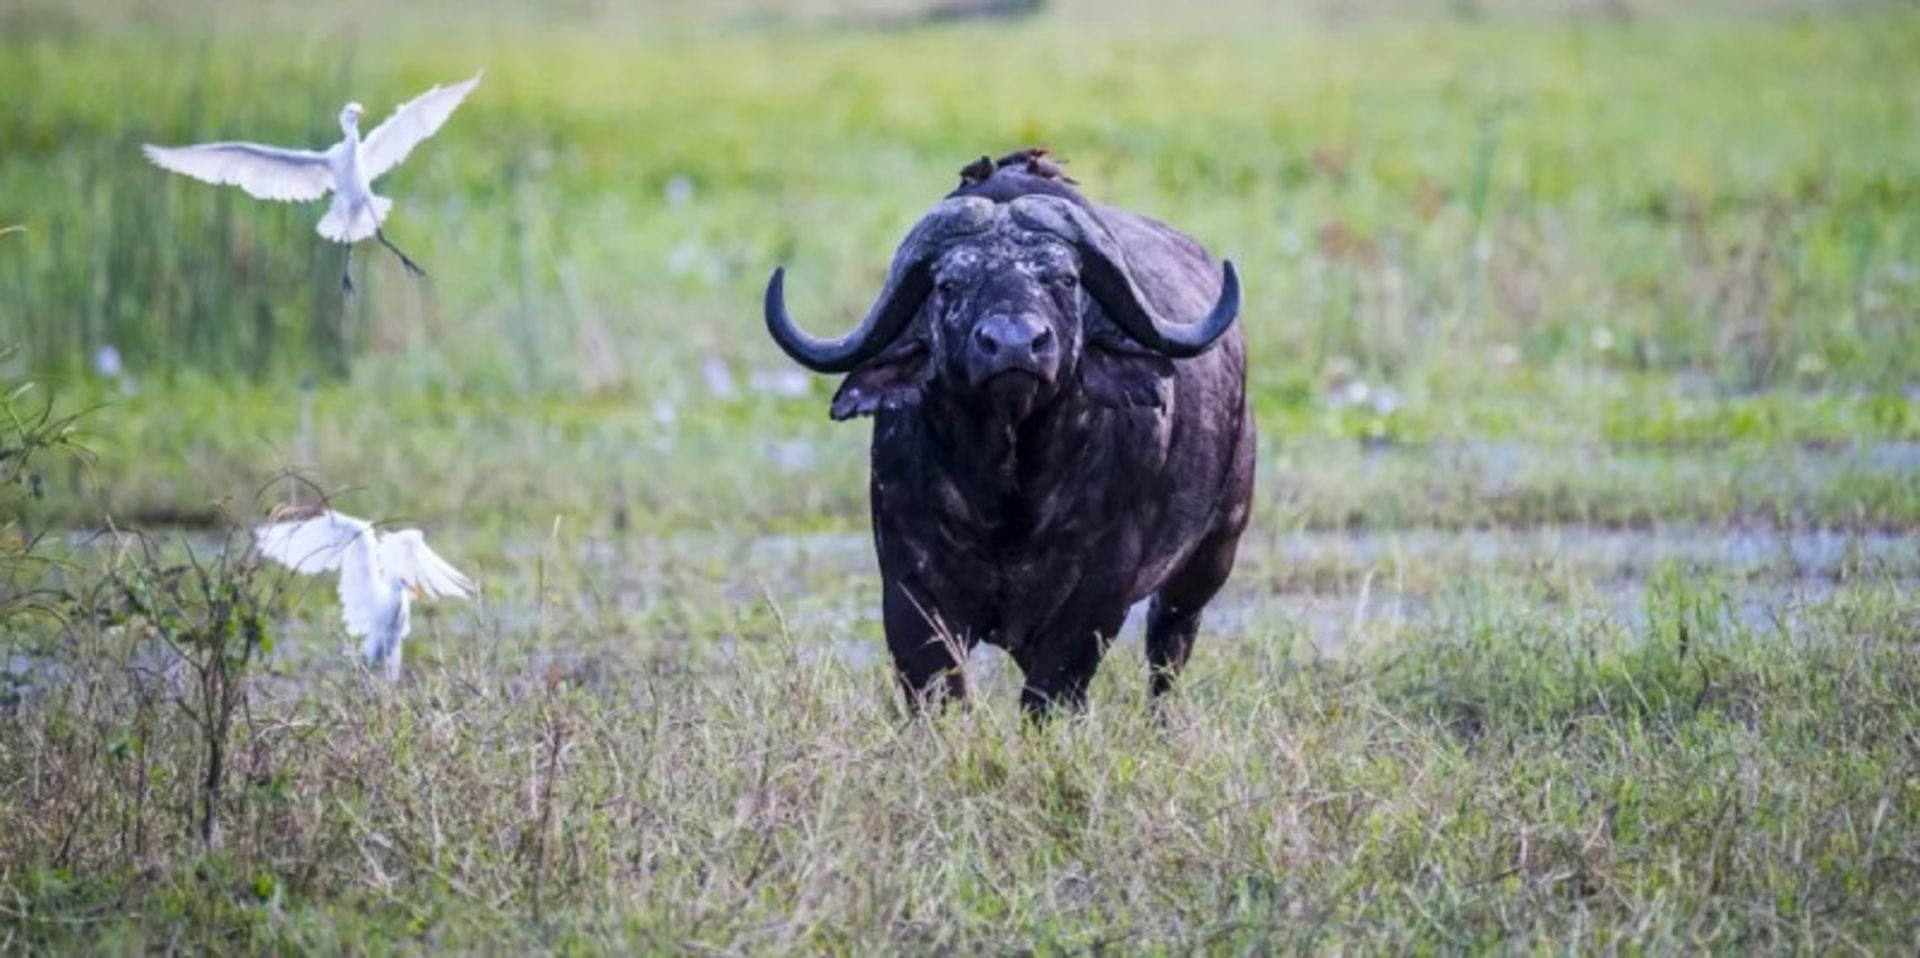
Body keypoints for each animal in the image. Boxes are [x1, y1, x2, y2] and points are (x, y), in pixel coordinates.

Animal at [764, 149, 1254, 714]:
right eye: (949, 284)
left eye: (1065, 279)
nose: (1015, 344)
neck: (1009, 493)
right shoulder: (909, 592)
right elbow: (938, 691)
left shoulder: (1098, 596)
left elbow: (1052, 691)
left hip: (1214, 552)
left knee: (1169, 642)